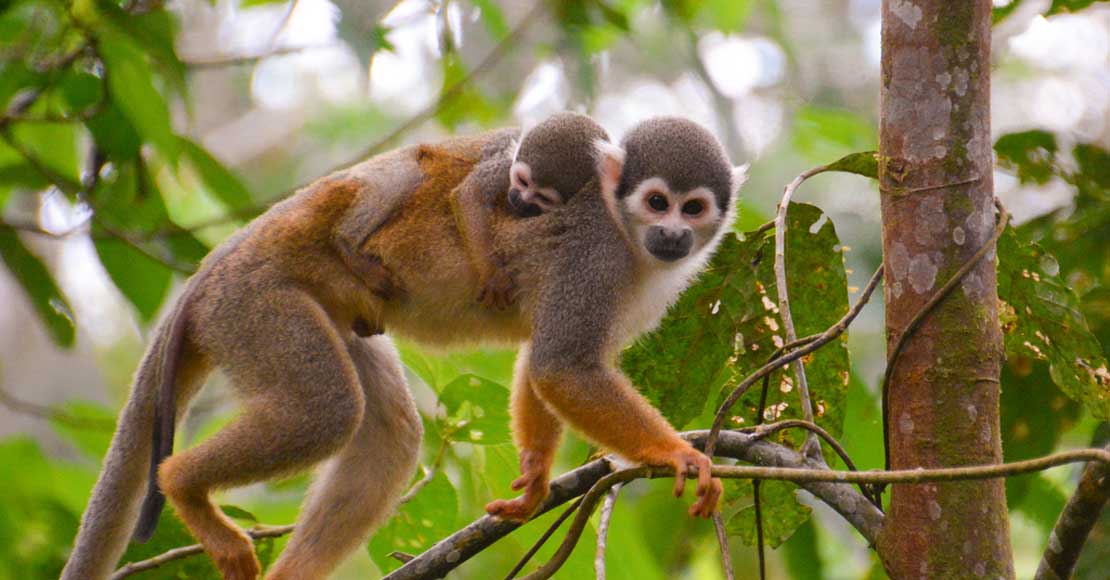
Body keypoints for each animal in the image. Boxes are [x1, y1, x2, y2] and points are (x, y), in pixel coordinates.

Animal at [58, 114, 737, 580]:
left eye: (693, 208)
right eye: (657, 202)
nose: (673, 234)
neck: (629, 240)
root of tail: (217, 266)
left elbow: (544, 363)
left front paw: (535, 480)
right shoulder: (593, 258)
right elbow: (562, 368)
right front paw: (678, 454)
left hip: (312, 314)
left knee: (389, 432)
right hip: (253, 303)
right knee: (326, 411)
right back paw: (182, 485)